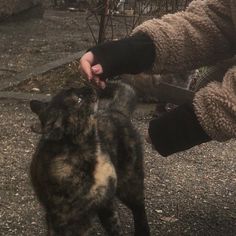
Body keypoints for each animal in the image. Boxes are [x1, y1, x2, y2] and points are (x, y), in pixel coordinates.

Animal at [29, 81, 149, 236]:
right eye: (78, 99)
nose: (89, 86)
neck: (87, 153)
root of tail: (115, 111)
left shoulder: (106, 201)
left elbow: (116, 229)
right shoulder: (69, 218)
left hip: (129, 184)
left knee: (139, 209)